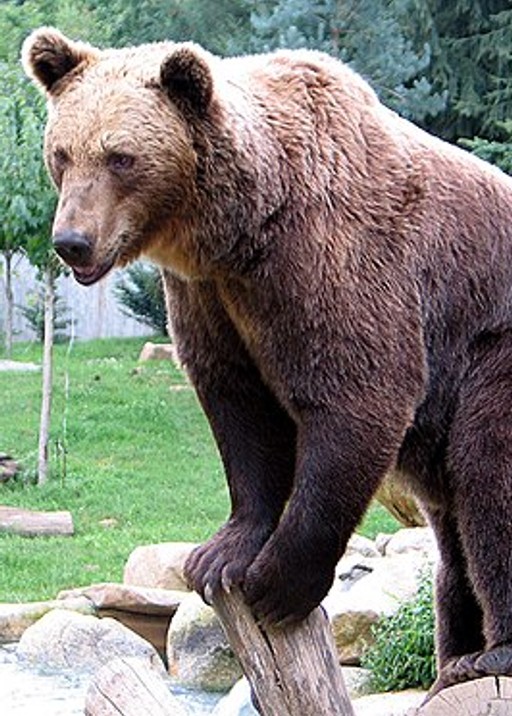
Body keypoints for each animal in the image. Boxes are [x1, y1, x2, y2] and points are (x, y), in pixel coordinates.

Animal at [22, 26, 512, 695]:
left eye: (120, 157)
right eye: (62, 153)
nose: (72, 241)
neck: (242, 226)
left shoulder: (331, 258)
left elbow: (360, 391)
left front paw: (278, 582)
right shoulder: (212, 296)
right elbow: (240, 409)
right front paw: (219, 556)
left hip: (490, 355)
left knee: (487, 474)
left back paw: (494, 653)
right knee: (450, 528)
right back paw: (455, 661)